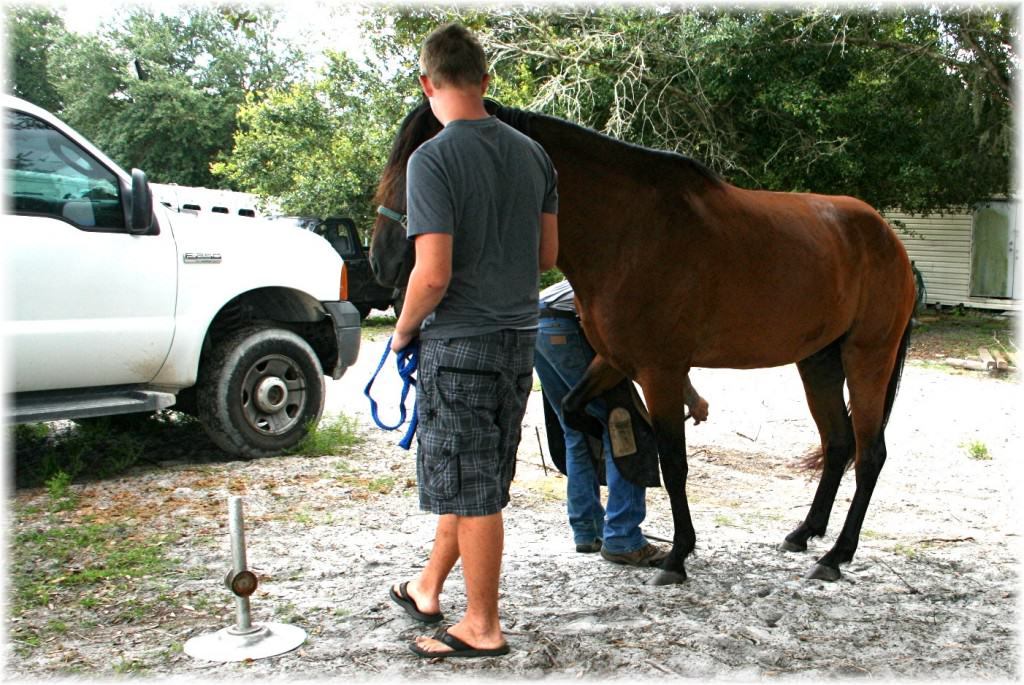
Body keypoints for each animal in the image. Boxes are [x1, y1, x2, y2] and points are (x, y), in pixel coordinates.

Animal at [372, 98, 917, 585]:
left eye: (422, 165)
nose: (383, 262)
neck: (628, 231)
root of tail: (888, 240)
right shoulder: (615, 360)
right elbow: (577, 412)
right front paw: (614, 465)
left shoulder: (661, 371)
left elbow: (674, 463)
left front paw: (677, 556)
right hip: (818, 362)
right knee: (838, 444)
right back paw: (805, 534)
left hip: (867, 358)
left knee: (870, 453)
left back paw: (836, 556)